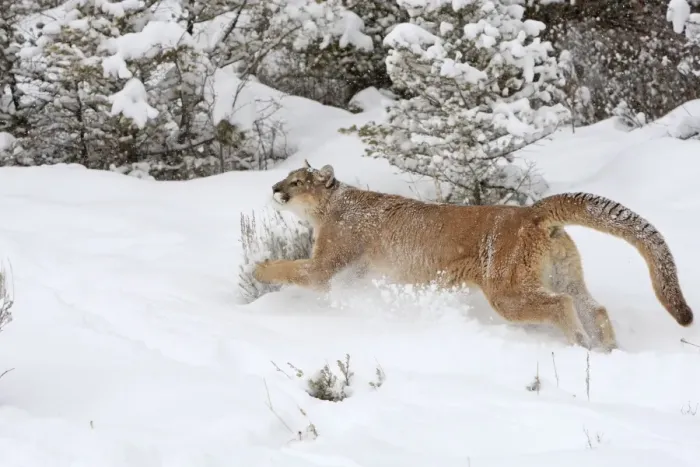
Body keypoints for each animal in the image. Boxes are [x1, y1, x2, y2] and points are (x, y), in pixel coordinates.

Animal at [253, 160, 693, 351]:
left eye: (297, 181)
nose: (274, 188)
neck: (330, 207)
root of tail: (531, 211)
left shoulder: (328, 263)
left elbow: (296, 270)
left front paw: (260, 268)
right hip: (564, 273)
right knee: (592, 305)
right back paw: (607, 348)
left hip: (507, 289)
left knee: (560, 305)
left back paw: (578, 343)